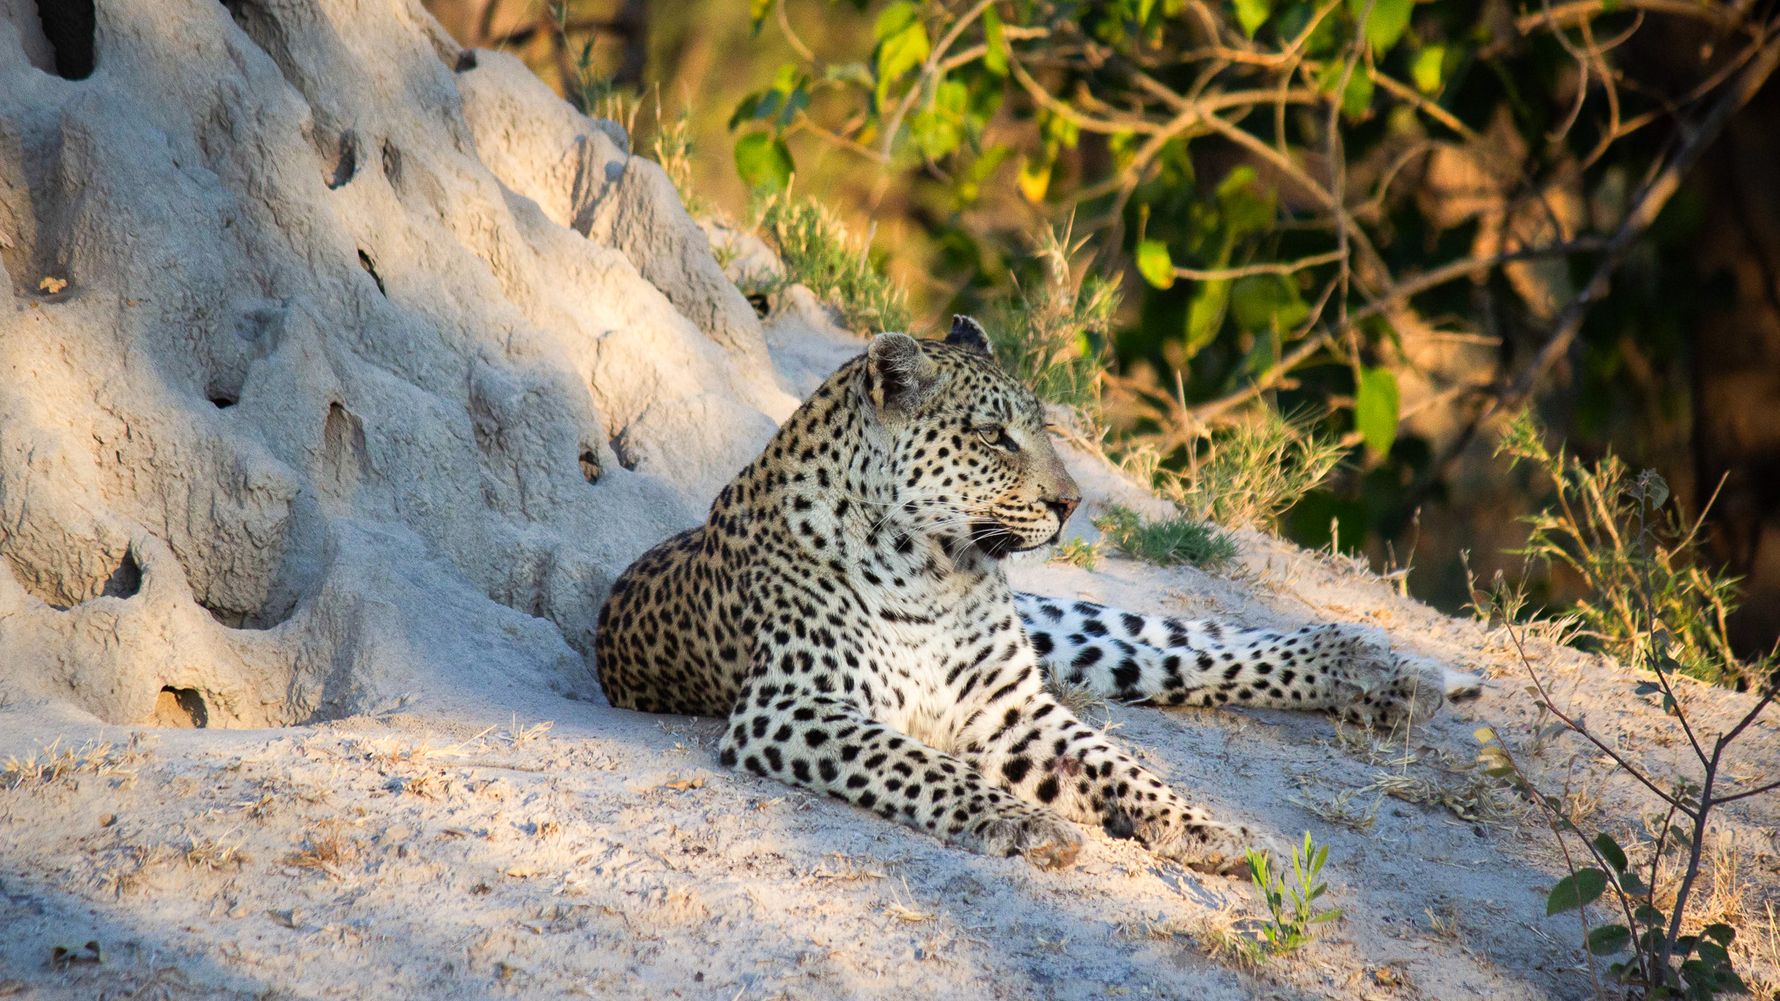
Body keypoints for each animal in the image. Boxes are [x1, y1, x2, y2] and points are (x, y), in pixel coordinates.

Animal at [594, 316, 1452, 872]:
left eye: (1041, 427)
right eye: (992, 436)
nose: (1070, 502)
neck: (936, 568)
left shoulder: (1008, 704)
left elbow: (1119, 761)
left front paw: (1201, 827)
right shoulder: (791, 705)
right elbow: (918, 761)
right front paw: (1021, 819)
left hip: (1066, 631)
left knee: (1184, 639)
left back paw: (1385, 666)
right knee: (1176, 659)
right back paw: (1389, 677)